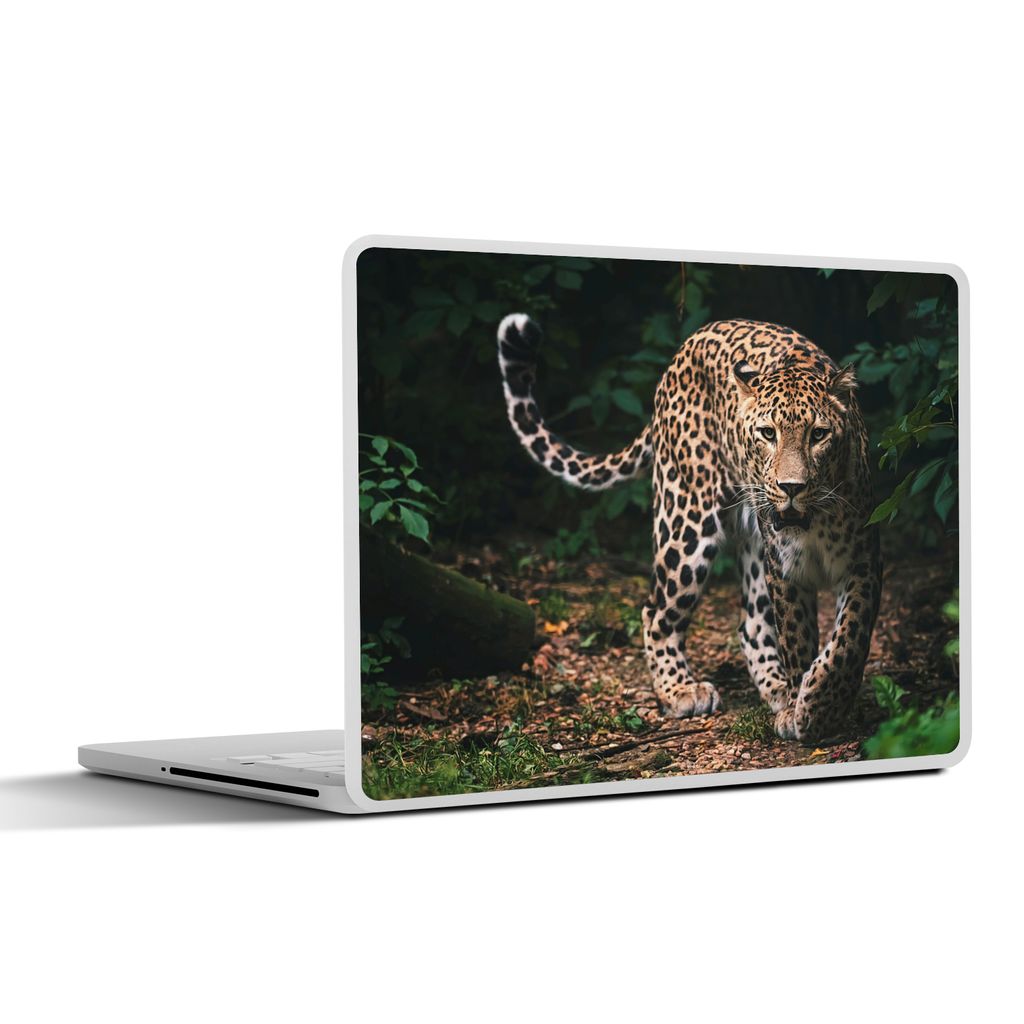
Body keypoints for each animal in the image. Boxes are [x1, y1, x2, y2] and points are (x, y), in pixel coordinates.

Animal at [497, 312, 882, 742]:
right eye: (768, 433)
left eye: (819, 434)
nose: (791, 488)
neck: (814, 520)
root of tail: (685, 347)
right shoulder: (784, 571)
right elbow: (798, 640)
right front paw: (808, 708)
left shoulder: (864, 560)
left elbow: (849, 639)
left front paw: (819, 704)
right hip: (686, 521)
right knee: (656, 612)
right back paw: (681, 690)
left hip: (750, 542)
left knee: (751, 624)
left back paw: (778, 692)